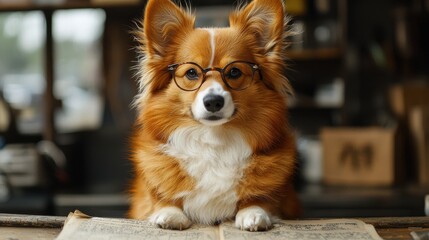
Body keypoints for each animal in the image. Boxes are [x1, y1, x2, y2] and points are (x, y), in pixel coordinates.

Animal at [129, 0, 300, 231]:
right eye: (192, 73)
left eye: (234, 72)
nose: (213, 102)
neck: (213, 141)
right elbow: (161, 200)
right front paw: (169, 213)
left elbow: (261, 200)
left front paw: (254, 213)